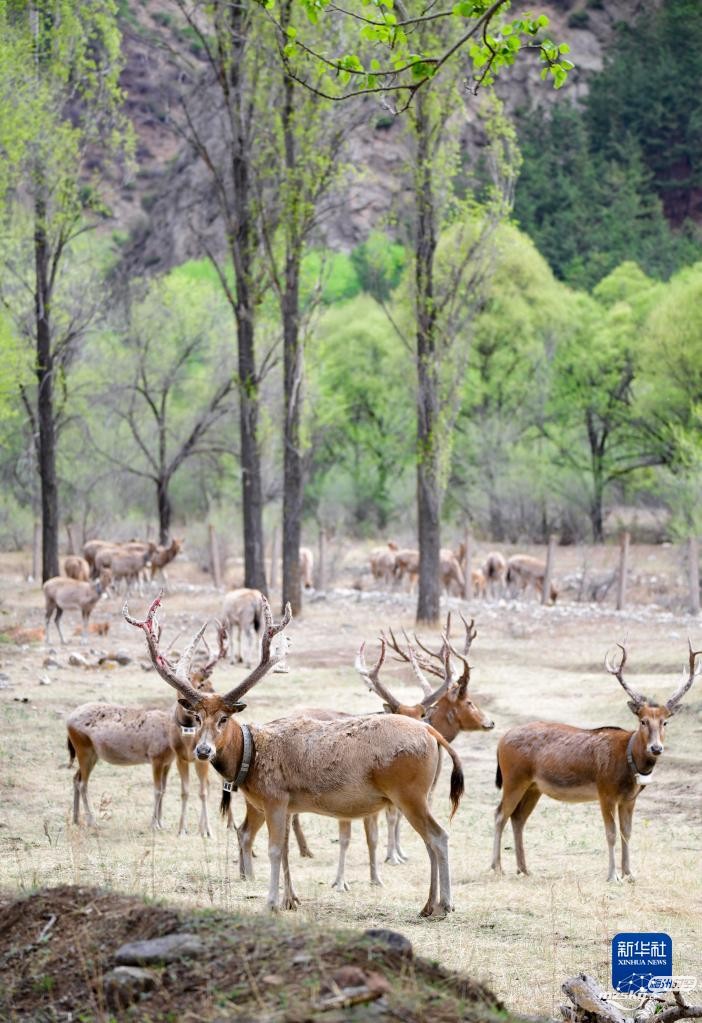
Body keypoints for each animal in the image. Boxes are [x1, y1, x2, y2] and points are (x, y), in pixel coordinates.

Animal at [66, 617, 232, 834]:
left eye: (202, 682)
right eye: (187, 683)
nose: (194, 703)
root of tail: (68, 720)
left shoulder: (168, 760)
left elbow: (164, 789)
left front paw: (160, 822)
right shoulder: (155, 756)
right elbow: (157, 790)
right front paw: (154, 824)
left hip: (90, 753)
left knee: (76, 778)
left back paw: (77, 819)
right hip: (83, 747)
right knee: (83, 782)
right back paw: (92, 820)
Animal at [126, 593, 466, 920]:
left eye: (223, 719)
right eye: (197, 717)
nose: (203, 750)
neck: (252, 756)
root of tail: (431, 732)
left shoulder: (275, 798)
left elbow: (275, 849)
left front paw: (271, 902)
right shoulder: (289, 805)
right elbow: (287, 850)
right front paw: (291, 900)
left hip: (409, 792)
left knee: (439, 836)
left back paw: (445, 904)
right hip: (414, 795)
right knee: (430, 839)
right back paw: (428, 905)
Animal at [493, 646, 699, 879]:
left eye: (665, 722)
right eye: (643, 721)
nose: (656, 748)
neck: (627, 764)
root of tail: (501, 741)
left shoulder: (629, 798)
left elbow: (627, 833)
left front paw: (629, 873)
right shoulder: (605, 791)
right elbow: (610, 833)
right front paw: (612, 876)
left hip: (534, 786)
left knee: (518, 818)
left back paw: (524, 869)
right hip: (513, 778)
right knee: (500, 814)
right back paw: (497, 867)